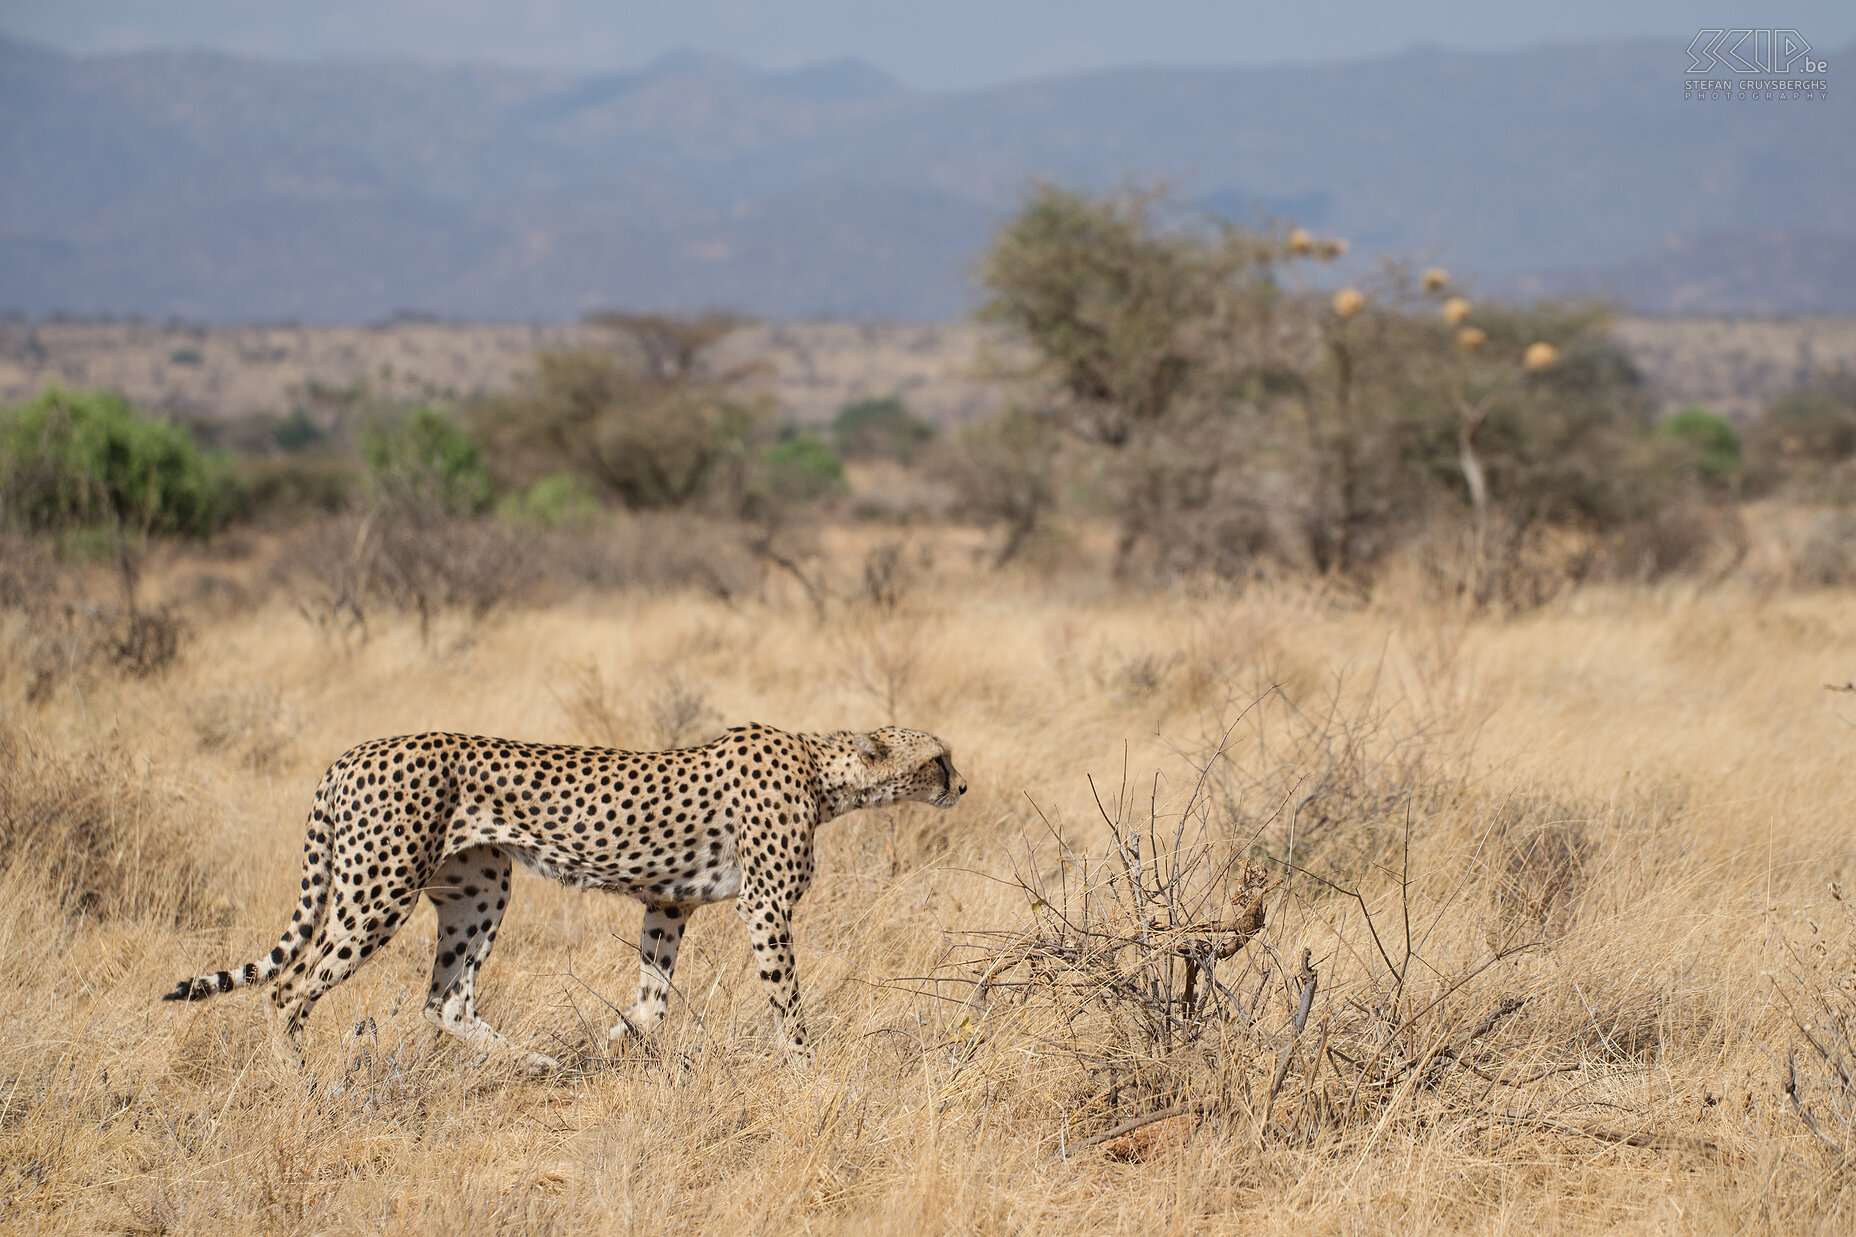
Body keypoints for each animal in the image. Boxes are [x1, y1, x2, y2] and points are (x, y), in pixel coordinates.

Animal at [165, 724, 965, 1069]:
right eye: (939, 757)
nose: (963, 784)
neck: (825, 772)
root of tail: (353, 752)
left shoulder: (668, 905)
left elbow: (653, 1001)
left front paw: (610, 1043)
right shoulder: (764, 906)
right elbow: (787, 997)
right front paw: (805, 1066)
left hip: (481, 886)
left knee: (446, 999)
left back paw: (538, 1065)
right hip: (378, 889)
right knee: (288, 989)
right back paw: (298, 1082)